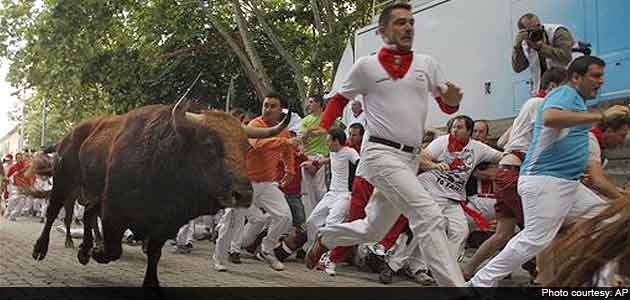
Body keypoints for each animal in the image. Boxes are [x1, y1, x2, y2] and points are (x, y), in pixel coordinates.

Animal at [33, 99, 290, 288]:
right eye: (209, 145)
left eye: (246, 148)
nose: (243, 194)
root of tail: (71, 134)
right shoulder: (115, 212)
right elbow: (114, 249)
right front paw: (98, 251)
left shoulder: (166, 223)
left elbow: (154, 253)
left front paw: (151, 283)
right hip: (64, 184)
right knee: (54, 213)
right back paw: (41, 250)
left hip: (92, 194)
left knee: (87, 214)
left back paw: (84, 251)